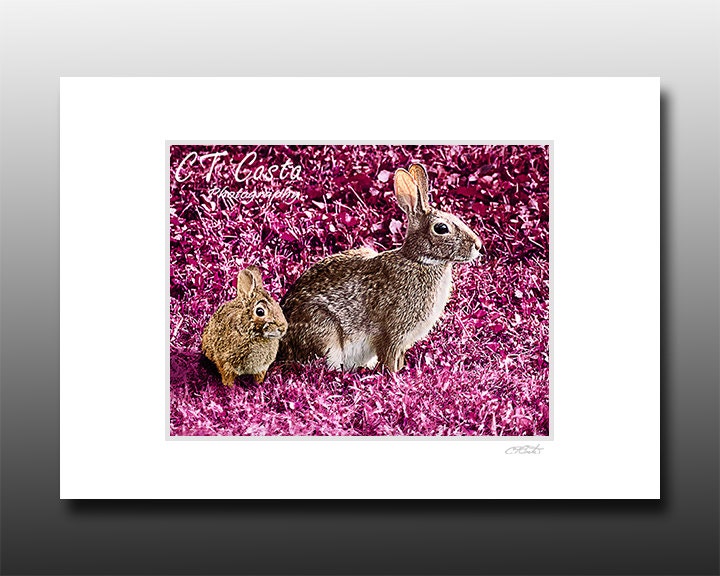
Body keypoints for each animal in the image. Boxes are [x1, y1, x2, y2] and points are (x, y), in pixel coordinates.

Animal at [279, 163, 482, 372]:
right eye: (441, 228)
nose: (478, 245)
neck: (419, 261)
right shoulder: (393, 332)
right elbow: (390, 357)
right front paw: (395, 374)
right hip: (324, 330)